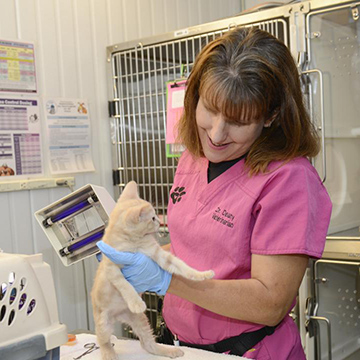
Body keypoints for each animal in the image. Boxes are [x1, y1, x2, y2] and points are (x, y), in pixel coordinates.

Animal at [91, 181, 215, 360]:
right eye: (152, 218)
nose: (159, 222)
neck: (134, 244)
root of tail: (118, 314)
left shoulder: (157, 254)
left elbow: (180, 265)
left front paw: (201, 274)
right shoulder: (111, 268)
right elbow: (124, 284)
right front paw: (135, 302)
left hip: (140, 320)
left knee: (147, 344)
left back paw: (168, 351)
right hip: (103, 322)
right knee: (104, 340)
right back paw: (109, 353)